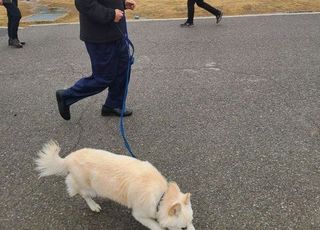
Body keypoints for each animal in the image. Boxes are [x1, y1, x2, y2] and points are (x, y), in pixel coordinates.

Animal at [35, 140, 195, 230]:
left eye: (191, 222)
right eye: (182, 228)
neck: (161, 196)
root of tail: (68, 158)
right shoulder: (139, 214)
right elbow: (157, 227)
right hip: (89, 188)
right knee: (80, 192)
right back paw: (93, 205)